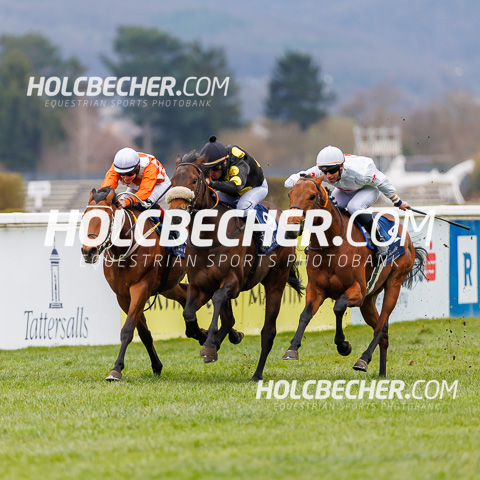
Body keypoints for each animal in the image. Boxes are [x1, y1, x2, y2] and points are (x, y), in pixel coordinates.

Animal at [81, 187, 207, 381]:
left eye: (106, 219)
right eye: (84, 217)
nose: (88, 251)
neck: (125, 248)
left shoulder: (141, 288)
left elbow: (127, 330)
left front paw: (116, 369)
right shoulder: (123, 295)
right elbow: (143, 333)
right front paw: (156, 366)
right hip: (168, 285)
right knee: (184, 297)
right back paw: (199, 333)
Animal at [166, 152, 304, 381]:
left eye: (193, 181)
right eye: (172, 181)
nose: (176, 215)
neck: (210, 236)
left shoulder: (234, 282)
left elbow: (218, 299)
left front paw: (209, 343)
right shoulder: (200, 285)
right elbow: (189, 314)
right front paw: (207, 338)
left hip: (276, 281)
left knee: (268, 331)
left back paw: (257, 374)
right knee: (229, 318)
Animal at [282, 175, 427, 376]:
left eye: (311, 196)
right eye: (290, 194)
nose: (291, 228)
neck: (332, 246)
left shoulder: (357, 290)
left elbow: (339, 307)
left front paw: (343, 345)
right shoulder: (316, 289)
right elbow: (305, 315)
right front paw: (292, 348)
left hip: (394, 284)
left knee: (381, 326)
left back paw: (363, 359)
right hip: (369, 299)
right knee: (383, 331)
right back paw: (382, 373)